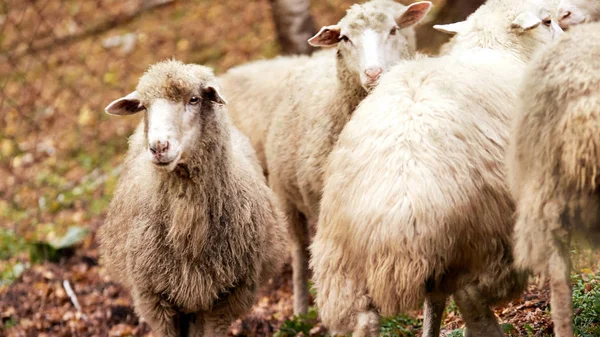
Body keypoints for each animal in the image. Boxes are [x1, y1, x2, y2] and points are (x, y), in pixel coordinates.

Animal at [310, 0, 564, 334]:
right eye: (547, 21)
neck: (497, 49)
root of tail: (396, 216)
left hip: (341, 268)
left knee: (367, 319)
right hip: (481, 236)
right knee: (472, 298)